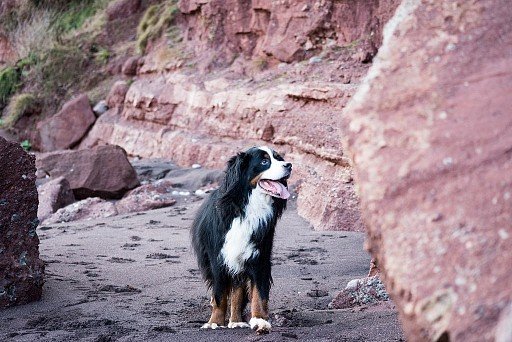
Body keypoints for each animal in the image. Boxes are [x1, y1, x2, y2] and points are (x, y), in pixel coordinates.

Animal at [191, 145, 292, 334]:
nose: (289, 165)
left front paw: (259, 320)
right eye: (264, 161)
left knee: (237, 290)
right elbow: (219, 294)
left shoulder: (258, 256)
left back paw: (236, 320)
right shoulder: (218, 257)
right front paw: (215, 322)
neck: (248, 206)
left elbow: (259, 293)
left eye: (278, 158)